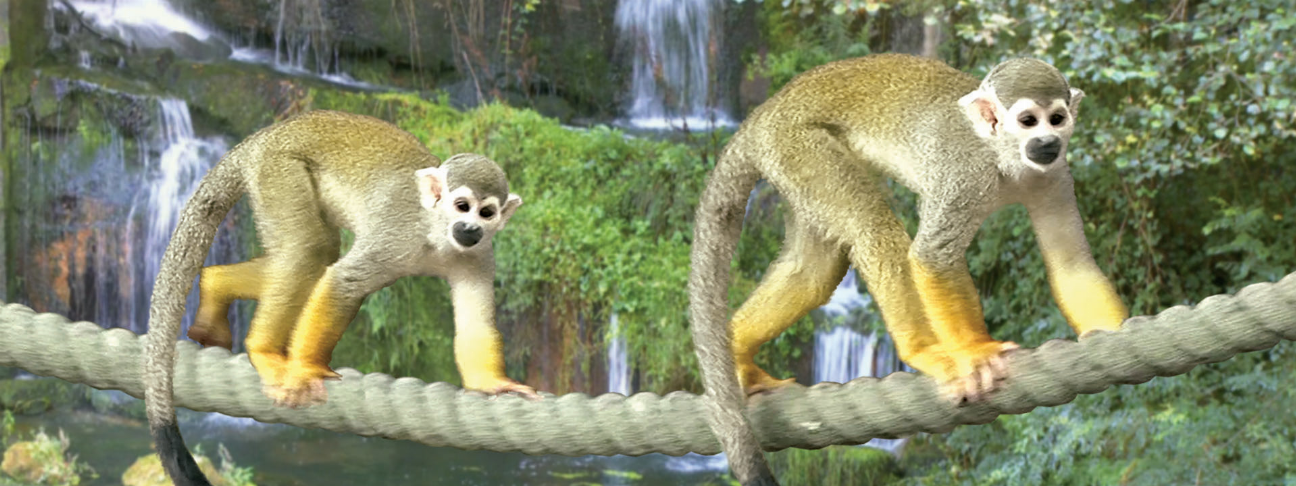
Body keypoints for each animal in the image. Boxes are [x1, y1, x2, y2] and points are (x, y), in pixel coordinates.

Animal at [143, 110, 536, 486]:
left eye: (486, 212)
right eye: (462, 205)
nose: (471, 228)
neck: (437, 235)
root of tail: (264, 137)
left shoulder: (480, 256)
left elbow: (476, 323)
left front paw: (492, 384)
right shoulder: (396, 236)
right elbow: (342, 281)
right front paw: (306, 368)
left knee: (314, 251)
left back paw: (215, 285)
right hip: (278, 170)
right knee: (310, 251)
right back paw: (264, 351)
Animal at [686, 53, 1129, 485]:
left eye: (1056, 118)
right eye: (1028, 121)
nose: (1047, 141)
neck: (1004, 158)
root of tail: (765, 111)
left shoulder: (1055, 176)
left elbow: (1071, 262)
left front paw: (1115, 338)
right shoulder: (966, 176)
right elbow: (932, 255)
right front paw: (975, 352)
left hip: (790, 165)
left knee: (813, 271)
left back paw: (736, 346)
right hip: (797, 145)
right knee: (872, 229)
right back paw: (923, 351)